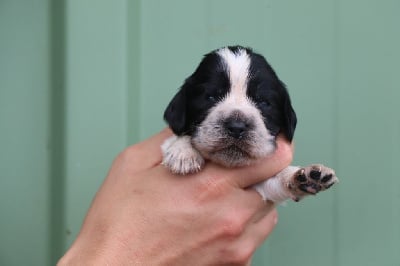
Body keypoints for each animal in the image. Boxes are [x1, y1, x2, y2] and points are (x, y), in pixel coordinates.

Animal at [161, 46, 336, 204]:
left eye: (264, 102)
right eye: (210, 97)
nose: (236, 127)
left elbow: (276, 181)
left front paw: (303, 176)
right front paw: (183, 151)